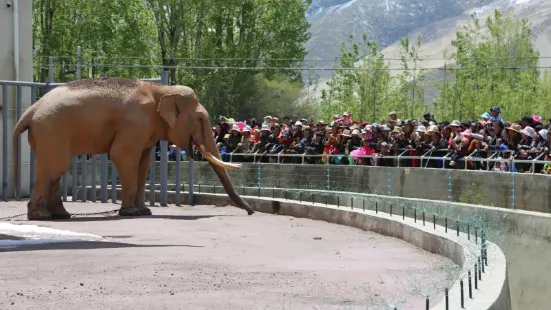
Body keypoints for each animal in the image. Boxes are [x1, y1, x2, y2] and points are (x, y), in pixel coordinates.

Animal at [12, 76, 254, 219]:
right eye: (201, 119)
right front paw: (130, 212)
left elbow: (143, 164)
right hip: (52, 130)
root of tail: (30, 111)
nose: (250, 212)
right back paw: (41, 216)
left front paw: (144, 211)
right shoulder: (134, 123)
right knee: (54, 168)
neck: (160, 89)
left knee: (55, 170)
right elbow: (123, 156)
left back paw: (61, 215)